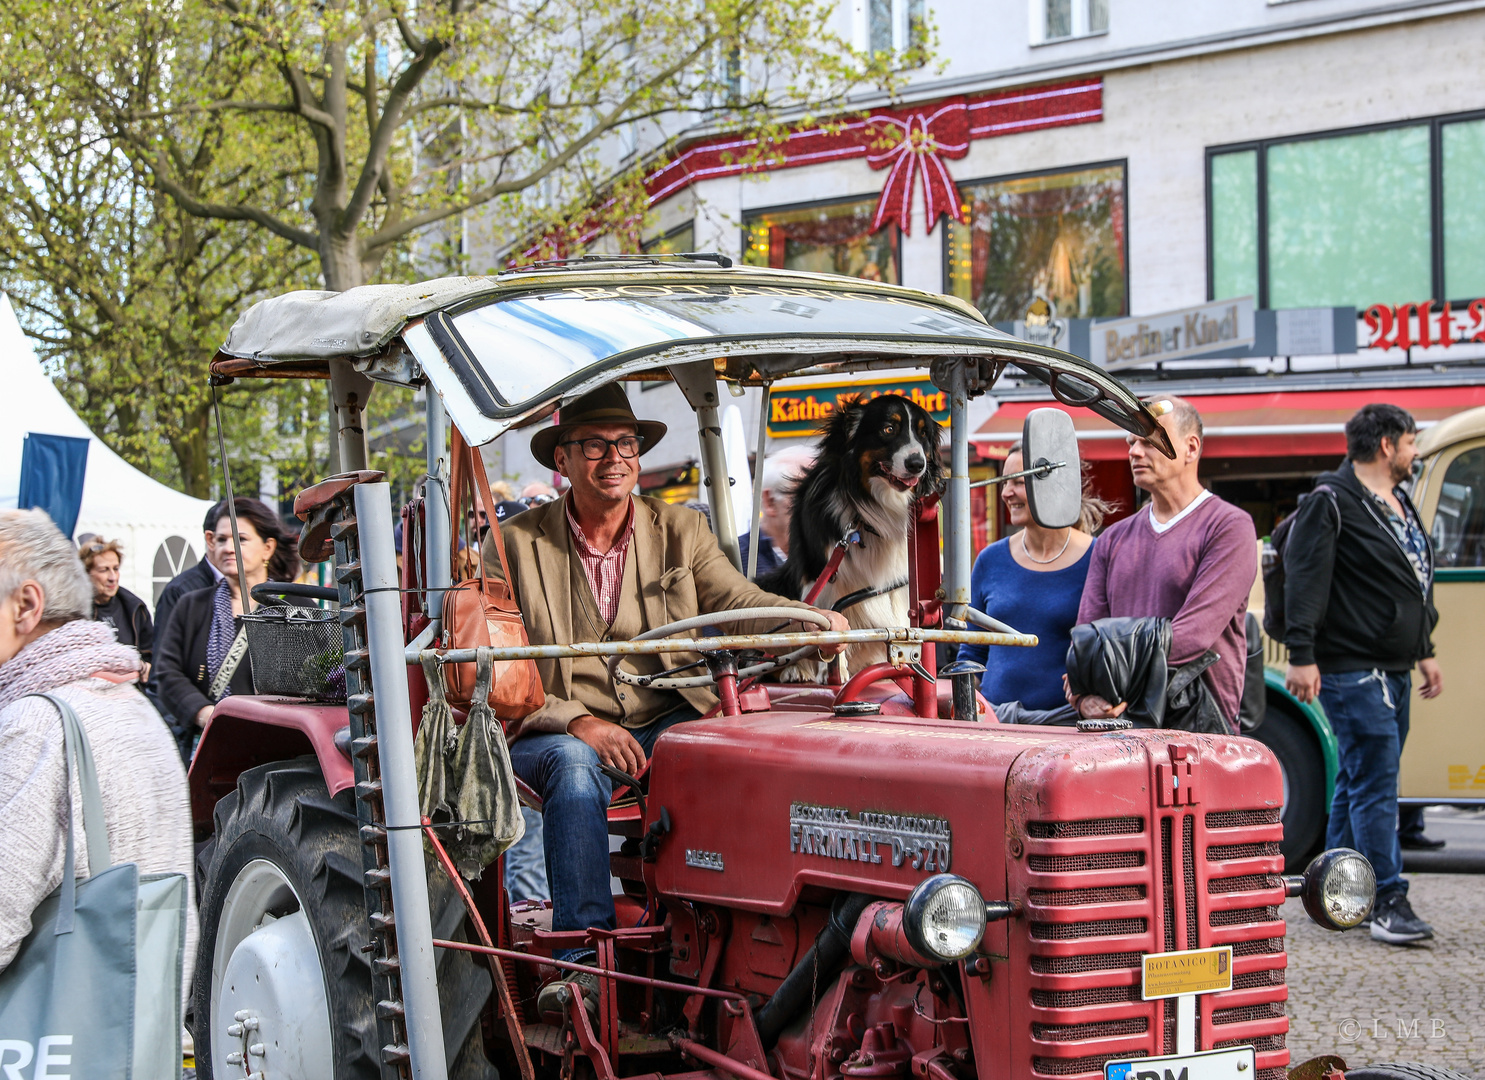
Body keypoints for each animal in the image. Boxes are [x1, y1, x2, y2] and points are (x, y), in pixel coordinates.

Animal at [760, 389, 944, 677]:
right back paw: (796, 670)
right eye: (888, 429)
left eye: (923, 434)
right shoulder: (820, 570)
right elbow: (827, 618)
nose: (917, 464)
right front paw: (832, 669)